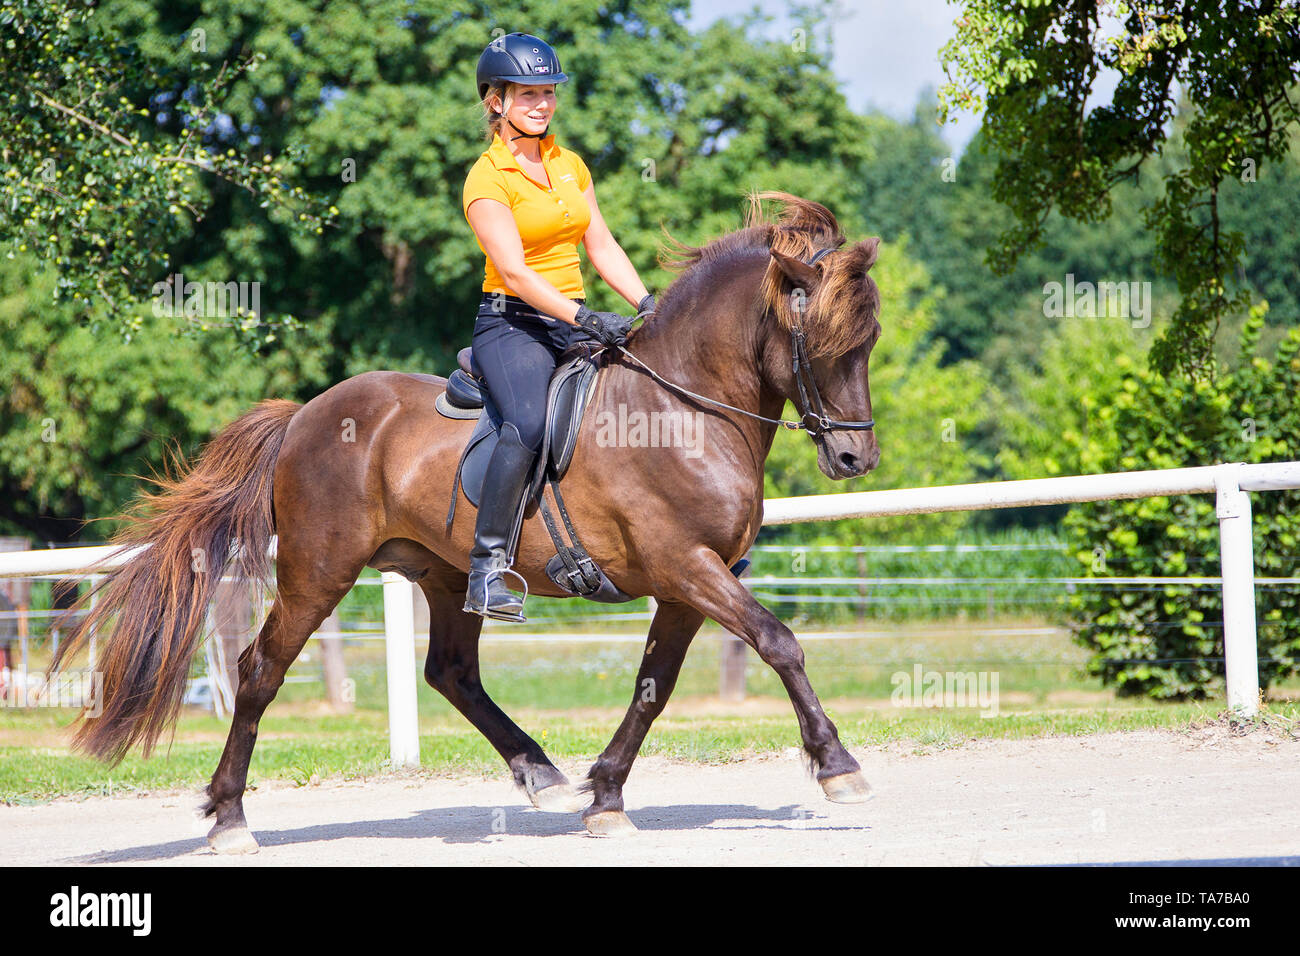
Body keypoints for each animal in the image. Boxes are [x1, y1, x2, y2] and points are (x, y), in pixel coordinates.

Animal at [52, 191, 883, 851]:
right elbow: (779, 641)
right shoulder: (686, 566)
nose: (855, 458)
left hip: (447, 574)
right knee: (260, 671)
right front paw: (838, 765)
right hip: (318, 571)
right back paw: (229, 820)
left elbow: (656, 684)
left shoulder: (686, 584)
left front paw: (606, 795)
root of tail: (305, 416)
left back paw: (541, 773)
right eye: (824, 342)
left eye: (868, 343)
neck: (681, 409)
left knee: (451, 672)